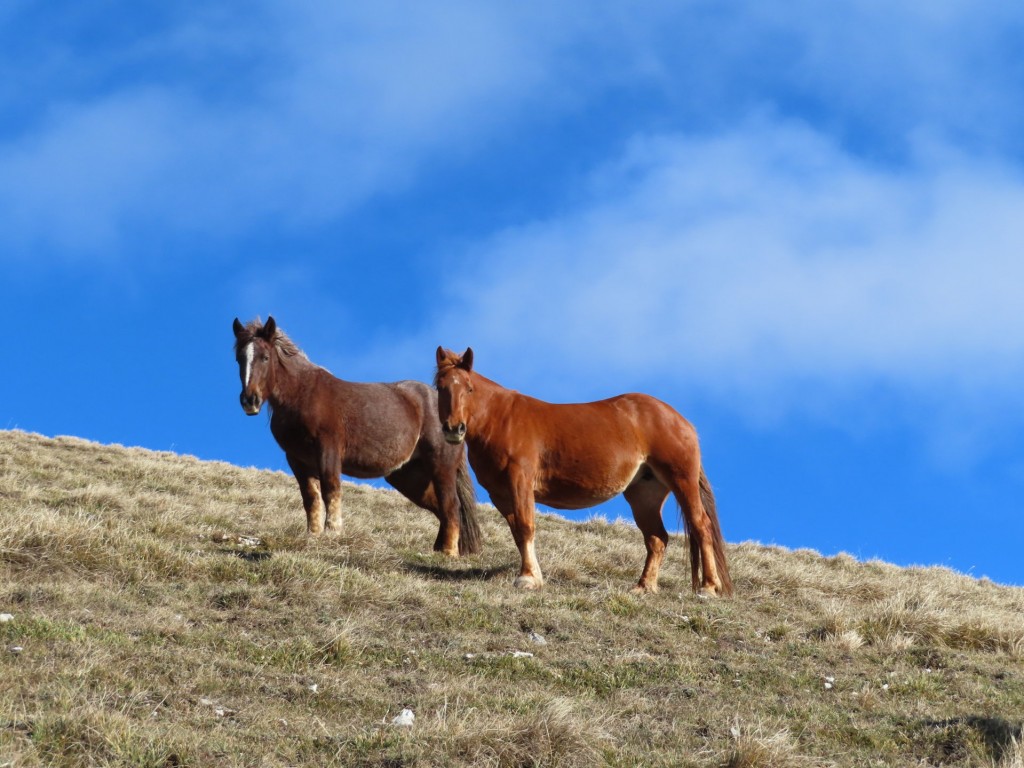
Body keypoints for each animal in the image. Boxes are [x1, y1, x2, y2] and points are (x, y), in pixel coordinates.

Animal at [234, 319, 481, 561]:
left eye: (265, 357)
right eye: (239, 358)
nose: (249, 401)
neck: (301, 394)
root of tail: (457, 417)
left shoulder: (328, 450)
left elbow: (331, 489)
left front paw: (333, 532)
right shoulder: (297, 459)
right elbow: (310, 498)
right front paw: (313, 535)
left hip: (441, 466)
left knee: (451, 506)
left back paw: (449, 553)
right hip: (409, 476)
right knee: (440, 507)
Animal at [436, 348, 733, 602]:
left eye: (469, 388)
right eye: (440, 387)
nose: (454, 429)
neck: (501, 419)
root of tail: (682, 421)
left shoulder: (520, 483)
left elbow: (525, 527)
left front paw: (528, 579)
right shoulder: (501, 494)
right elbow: (518, 532)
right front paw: (534, 576)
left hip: (682, 481)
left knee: (701, 526)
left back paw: (708, 587)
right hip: (644, 494)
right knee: (657, 538)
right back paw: (644, 586)